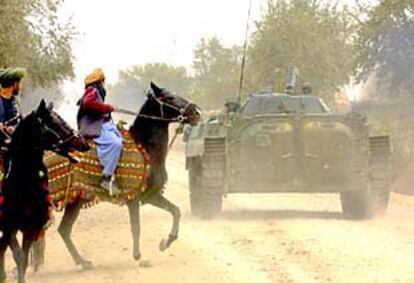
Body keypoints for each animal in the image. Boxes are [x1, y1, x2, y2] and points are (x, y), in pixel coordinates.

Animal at [36, 82, 201, 270]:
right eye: (170, 97)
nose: (197, 112)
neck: (146, 147)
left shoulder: (151, 195)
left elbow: (175, 211)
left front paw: (165, 242)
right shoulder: (133, 197)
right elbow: (136, 227)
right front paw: (139, 257)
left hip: (75, 201)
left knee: (63, 230)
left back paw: (81, 262)